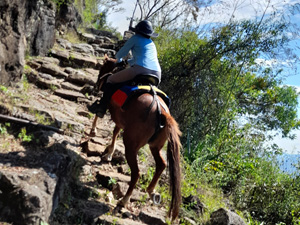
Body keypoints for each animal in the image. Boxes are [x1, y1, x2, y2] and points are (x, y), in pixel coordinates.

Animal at [89, 55, 183, 221]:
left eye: (102, 68)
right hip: (155, 146)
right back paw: (151, 190)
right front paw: (109, 152)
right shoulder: (121, 118)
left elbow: (100, 115)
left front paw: (94, 132)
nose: (98, 83)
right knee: (161, 164)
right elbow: (115, 131)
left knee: (136, 172)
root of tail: (163, 112)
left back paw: (124, 200)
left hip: (131, 145)